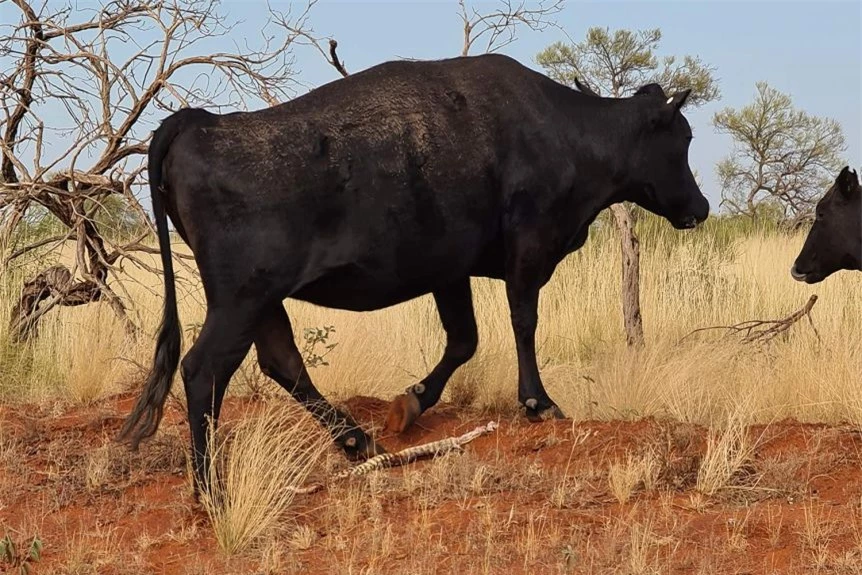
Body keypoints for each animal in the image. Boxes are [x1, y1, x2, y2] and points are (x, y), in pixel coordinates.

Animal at [118, 54, 712, 496]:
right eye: (681, 140)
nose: (700, 207)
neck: (566, 131)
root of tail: (201, 122)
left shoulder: (450, 270)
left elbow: (464, 340)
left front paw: (410, 404)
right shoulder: (528, 248)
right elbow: (523, 322)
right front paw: (538, 402)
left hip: (262, 302)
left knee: (282, 363)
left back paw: (358, 443)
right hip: (241, 299)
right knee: (204, 370)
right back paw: (209, 489)